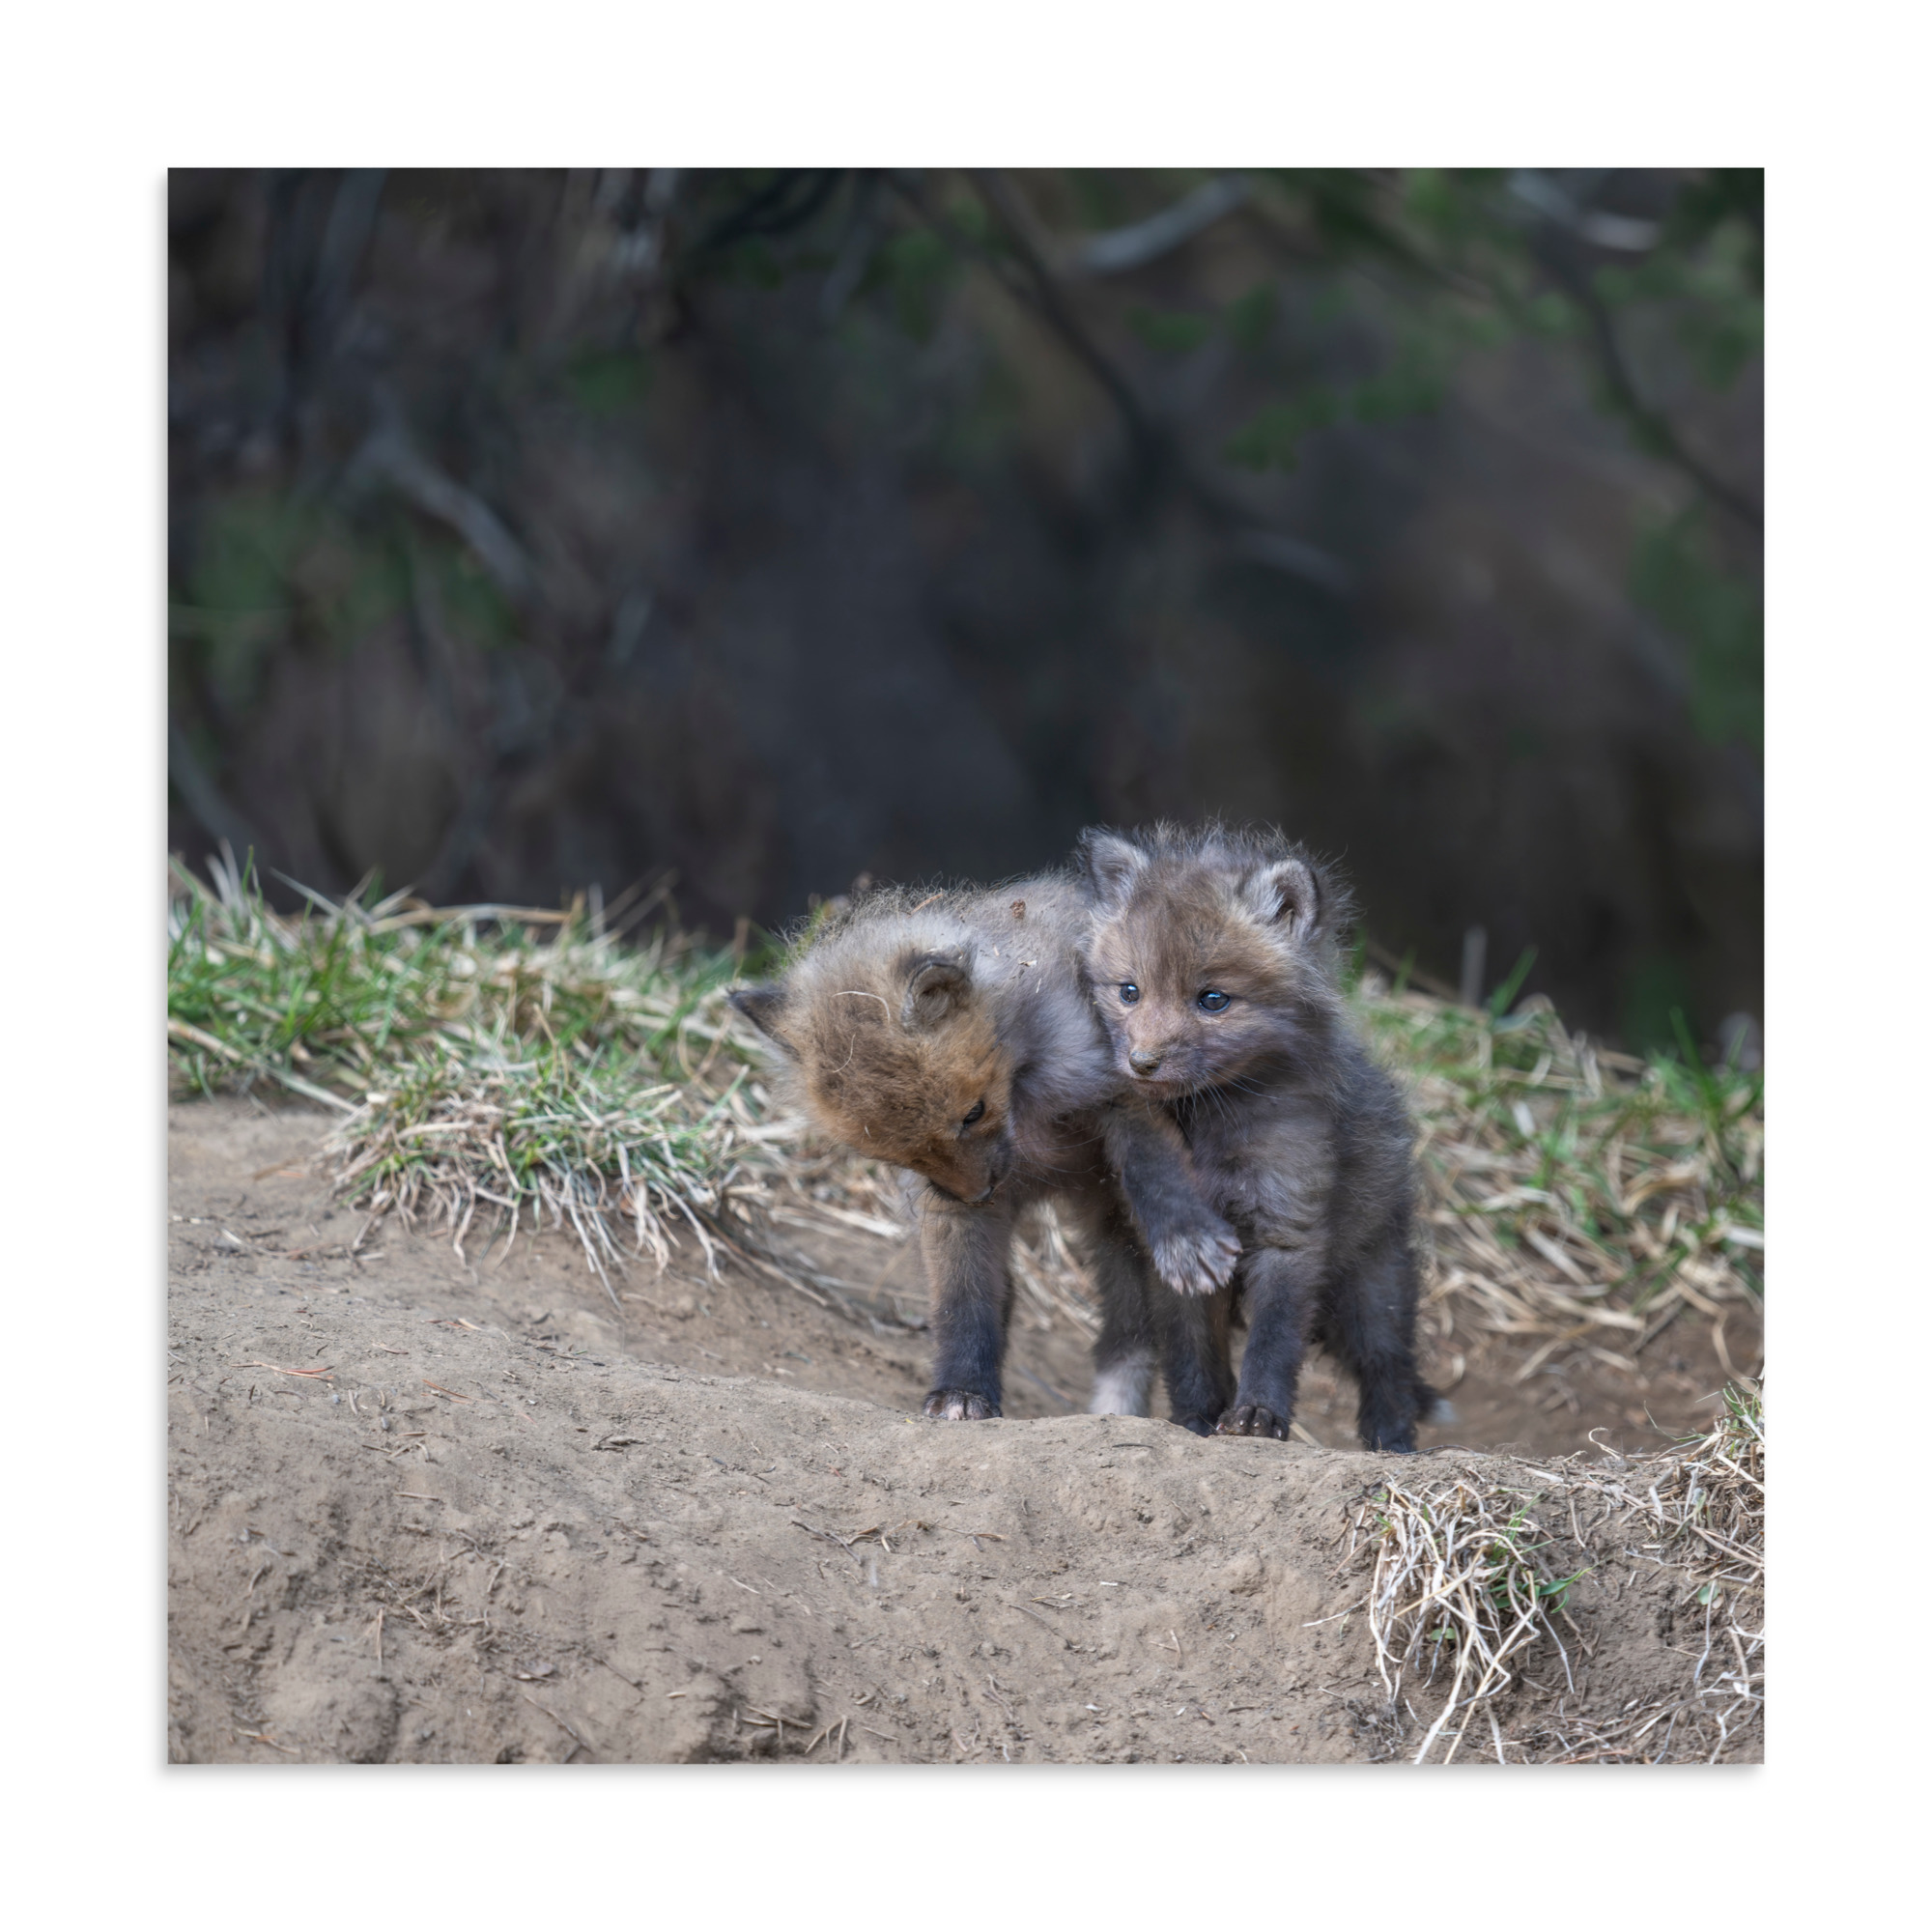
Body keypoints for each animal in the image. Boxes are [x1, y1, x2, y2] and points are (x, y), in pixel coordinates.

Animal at [728, 874, 1241, 1422]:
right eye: (897, 1154)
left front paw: (1185, 1237)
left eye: (973, 1113)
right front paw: (962, 1390)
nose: (978, 1194)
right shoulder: (945, 1206)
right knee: (1124, 1332)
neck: (1026, 1105)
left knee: (1183, 1337)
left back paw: (1200, 1418)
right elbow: (963, 1301)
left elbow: (1154, 1169)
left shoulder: (1122, 1088)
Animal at [1075, 822, 1442, 1451]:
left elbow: (1273, 1342)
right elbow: (1191, 1353)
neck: (1210, 1127)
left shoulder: (1288, 1228)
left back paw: (1392, 1446)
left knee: (1388, 1368)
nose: (1141, 1063)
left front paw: (1257, 1417)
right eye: (1129, 992)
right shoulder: (1177, 1252)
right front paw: (1196, 1420)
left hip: (1373, 1286)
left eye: (1213, 1000)